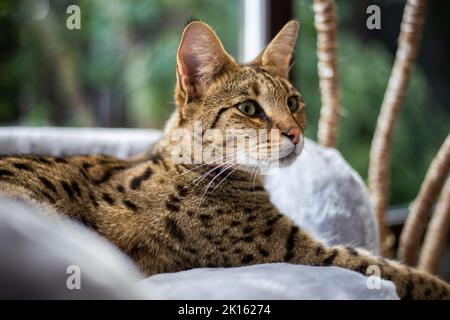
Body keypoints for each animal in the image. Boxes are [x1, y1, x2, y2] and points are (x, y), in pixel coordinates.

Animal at [0, 20, 448, 300]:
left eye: (293, 102)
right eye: (249, 108)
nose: (296, 133)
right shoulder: (307, 254)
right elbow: (398, 273)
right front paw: (437, 285)